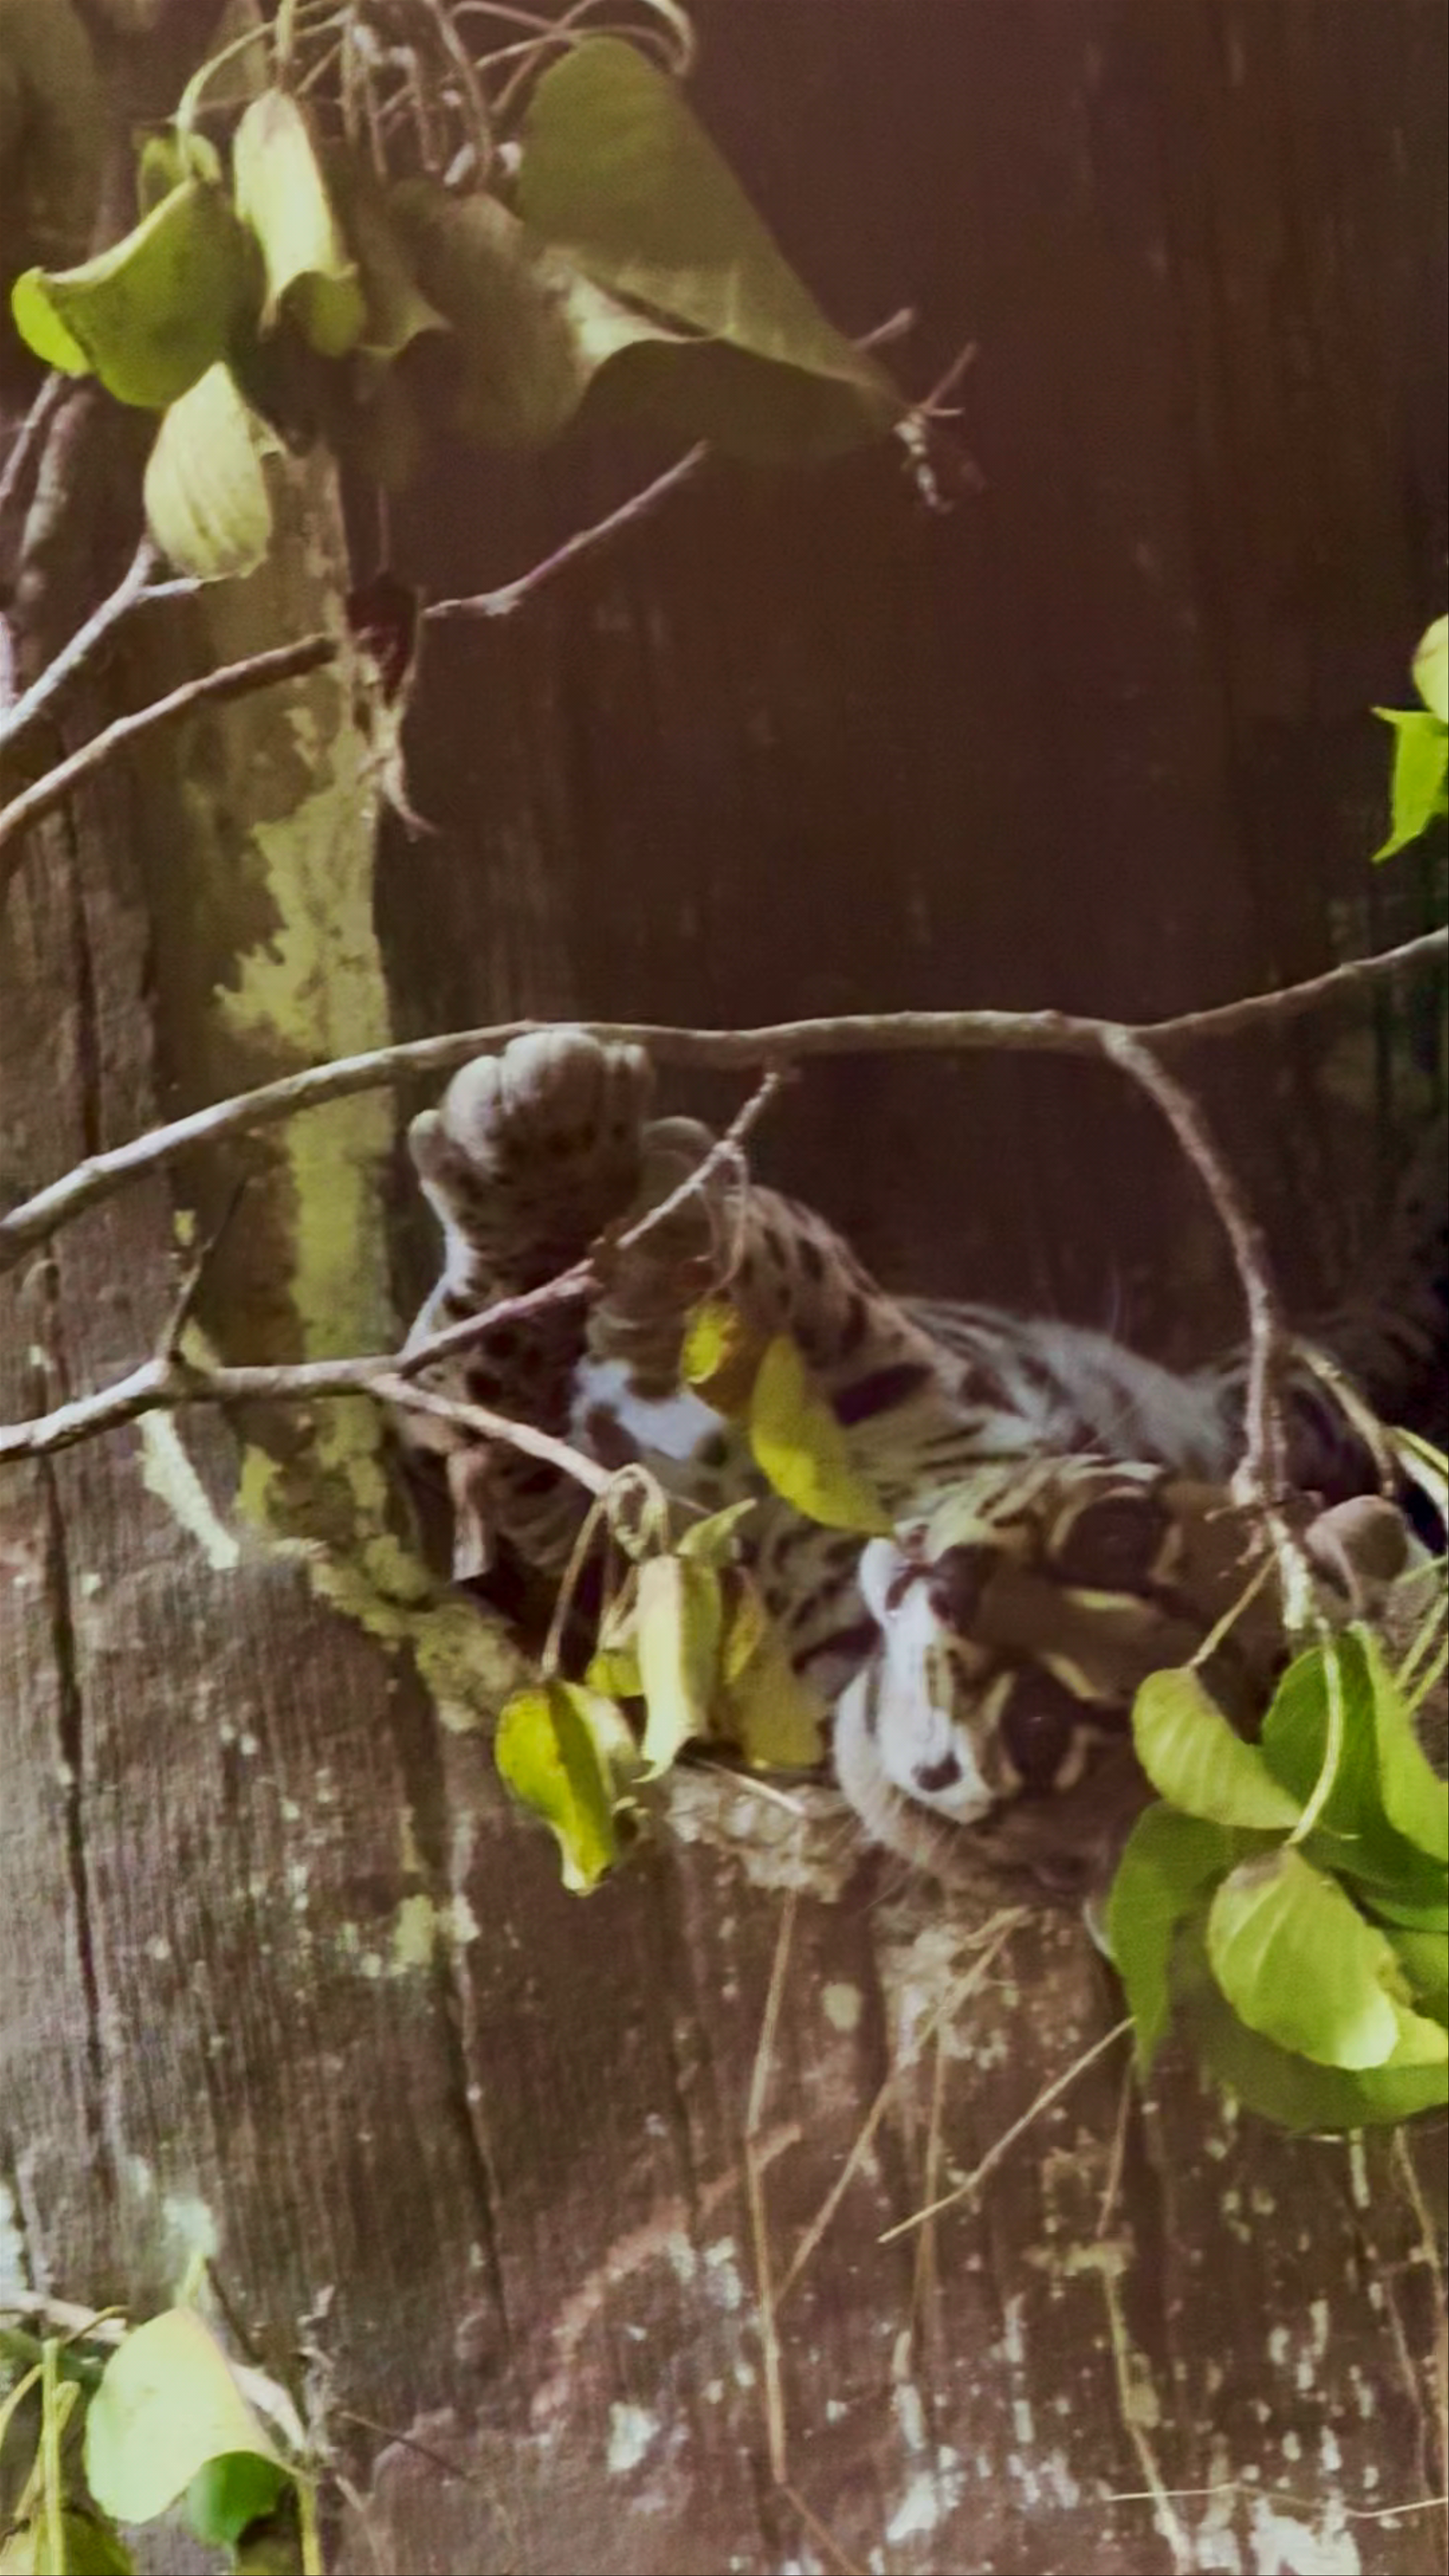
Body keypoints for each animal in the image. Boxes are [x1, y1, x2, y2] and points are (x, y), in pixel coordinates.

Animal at [398, 1029, 1446, 1894]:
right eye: (1113, 1538)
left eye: (1036, 1728)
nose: (954, 1582)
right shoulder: (902, 1376)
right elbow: (779, 1280)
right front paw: (587, 1181)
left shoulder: (610, 1593)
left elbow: (497, 1435)